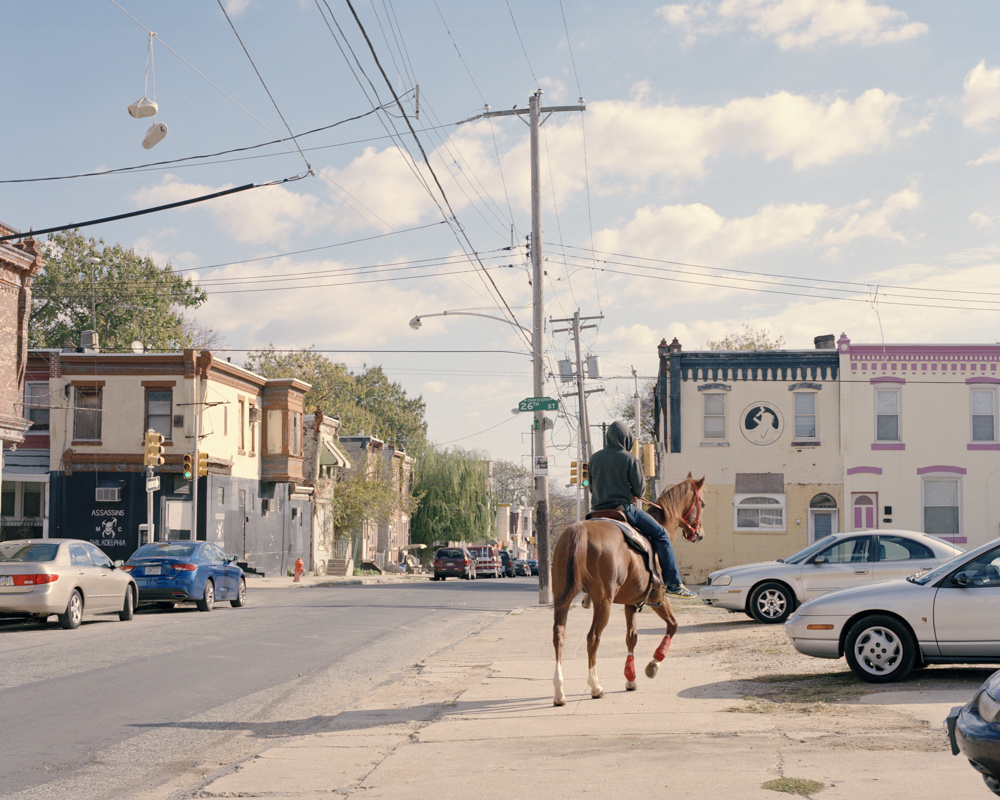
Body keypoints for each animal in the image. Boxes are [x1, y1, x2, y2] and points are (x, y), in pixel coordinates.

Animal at [552, 476, 708, 708]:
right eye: (703, 504)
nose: (700, 534)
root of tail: (580, 530)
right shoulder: (658, 598)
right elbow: (672, 626)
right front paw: (653, 665)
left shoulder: (631, 602)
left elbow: (631, 637)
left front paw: (630, 678)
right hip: (603, 601)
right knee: (593, 638)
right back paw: (595, 686)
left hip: (562, 598)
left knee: (559, 635)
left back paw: (559, 691)